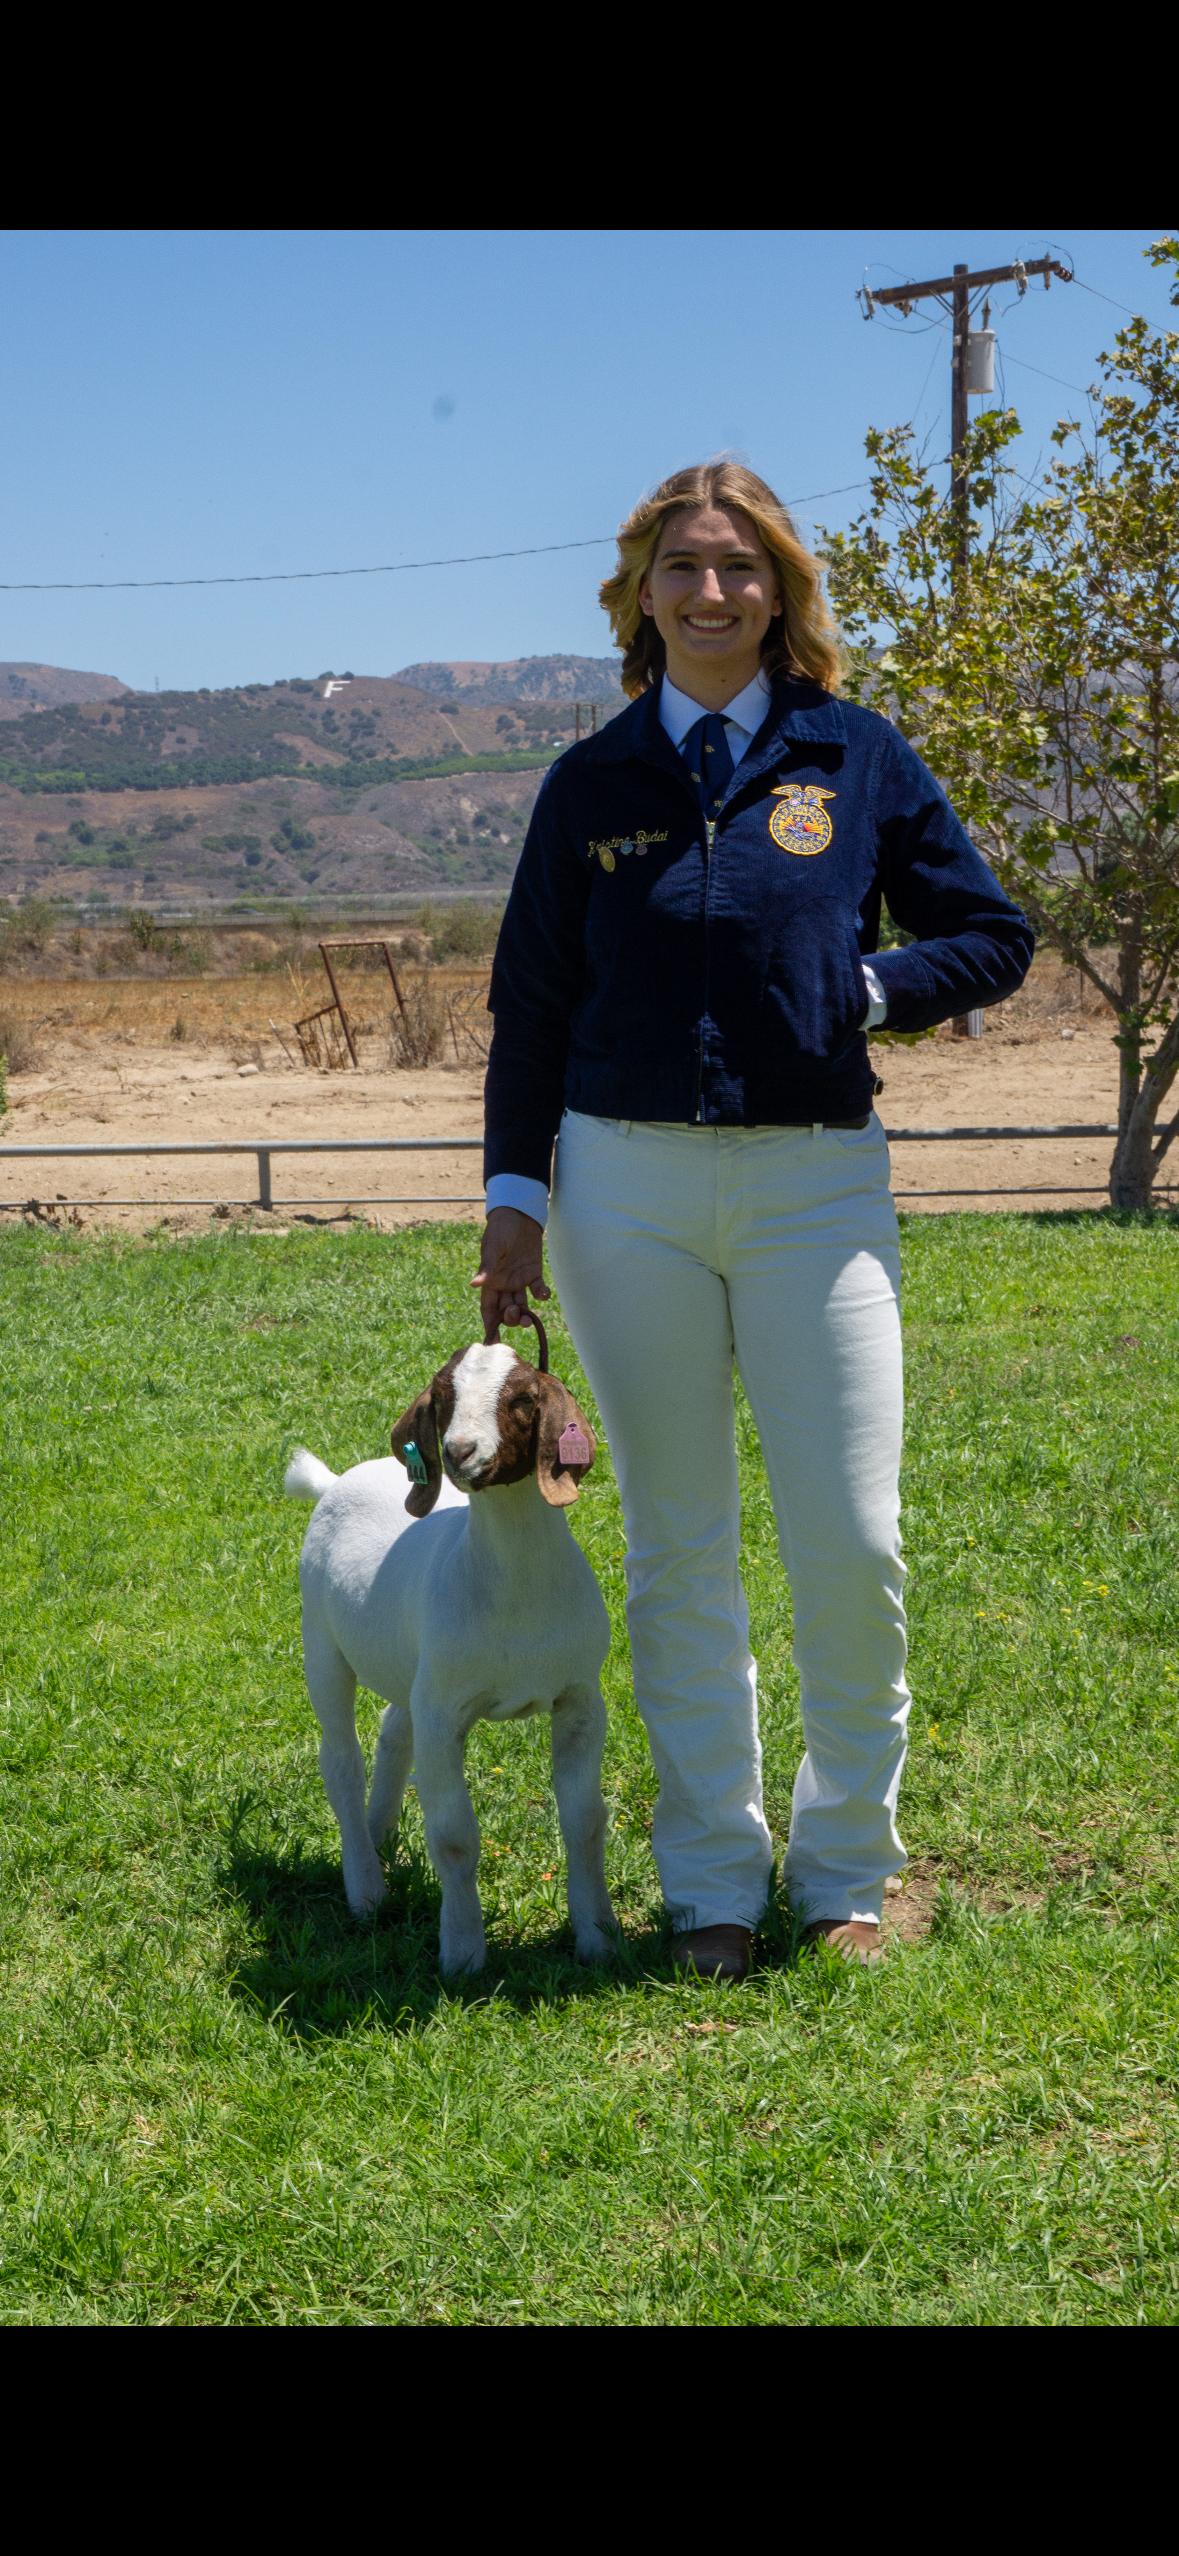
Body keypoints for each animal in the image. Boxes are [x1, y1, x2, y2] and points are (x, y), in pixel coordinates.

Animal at [284, 1335, 616, 1974]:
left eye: (522, 1398)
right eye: (442, 1397)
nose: (459, 1451)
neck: (518, 1593)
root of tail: (334, 1483)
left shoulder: (580, 1698)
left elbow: (586, 1822)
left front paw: (598, 1938)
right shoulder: (445, 1714)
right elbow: (454, 1835)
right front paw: (462, 1952)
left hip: (415, 1668)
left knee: (394, 1729)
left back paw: (378, 1833)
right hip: (323, 1646)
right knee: (340, 1759)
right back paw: (365, 1887)